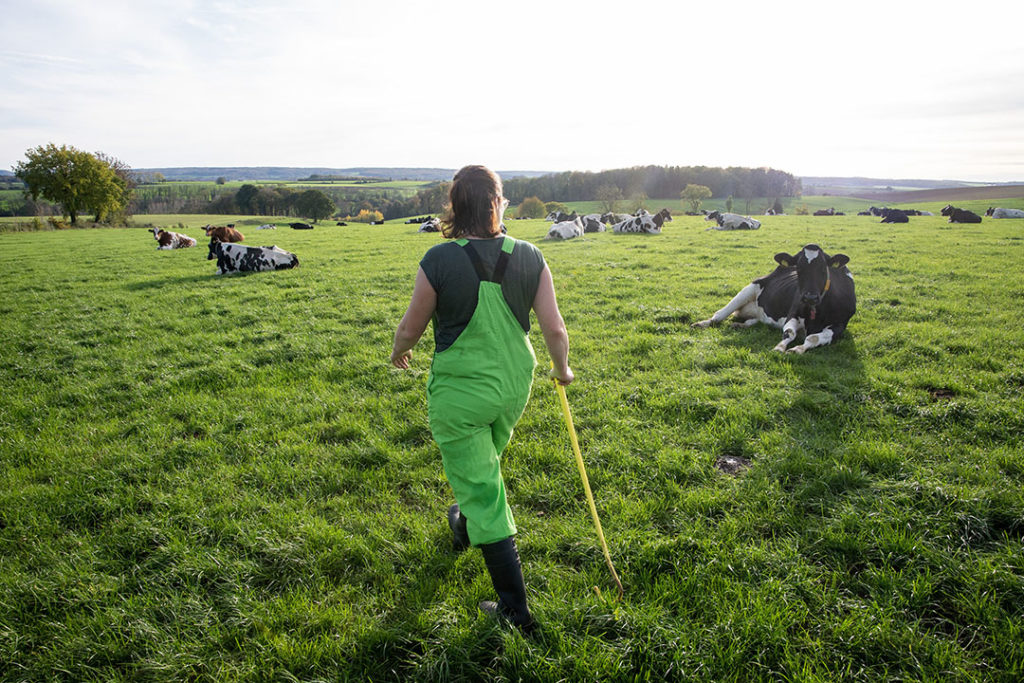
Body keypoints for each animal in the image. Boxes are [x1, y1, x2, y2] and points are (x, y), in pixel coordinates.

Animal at [696, 244, 856, 352]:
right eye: (799, 268)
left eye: (823, 269)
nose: (810, 297)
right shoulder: (793, 314)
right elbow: (789, 332)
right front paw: (780, 347)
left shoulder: (840, 325)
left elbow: (813, 338)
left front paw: (798, 349)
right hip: (751, 287)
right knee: (719, 315)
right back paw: (702, 323)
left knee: (755, 320)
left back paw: (739, 325)